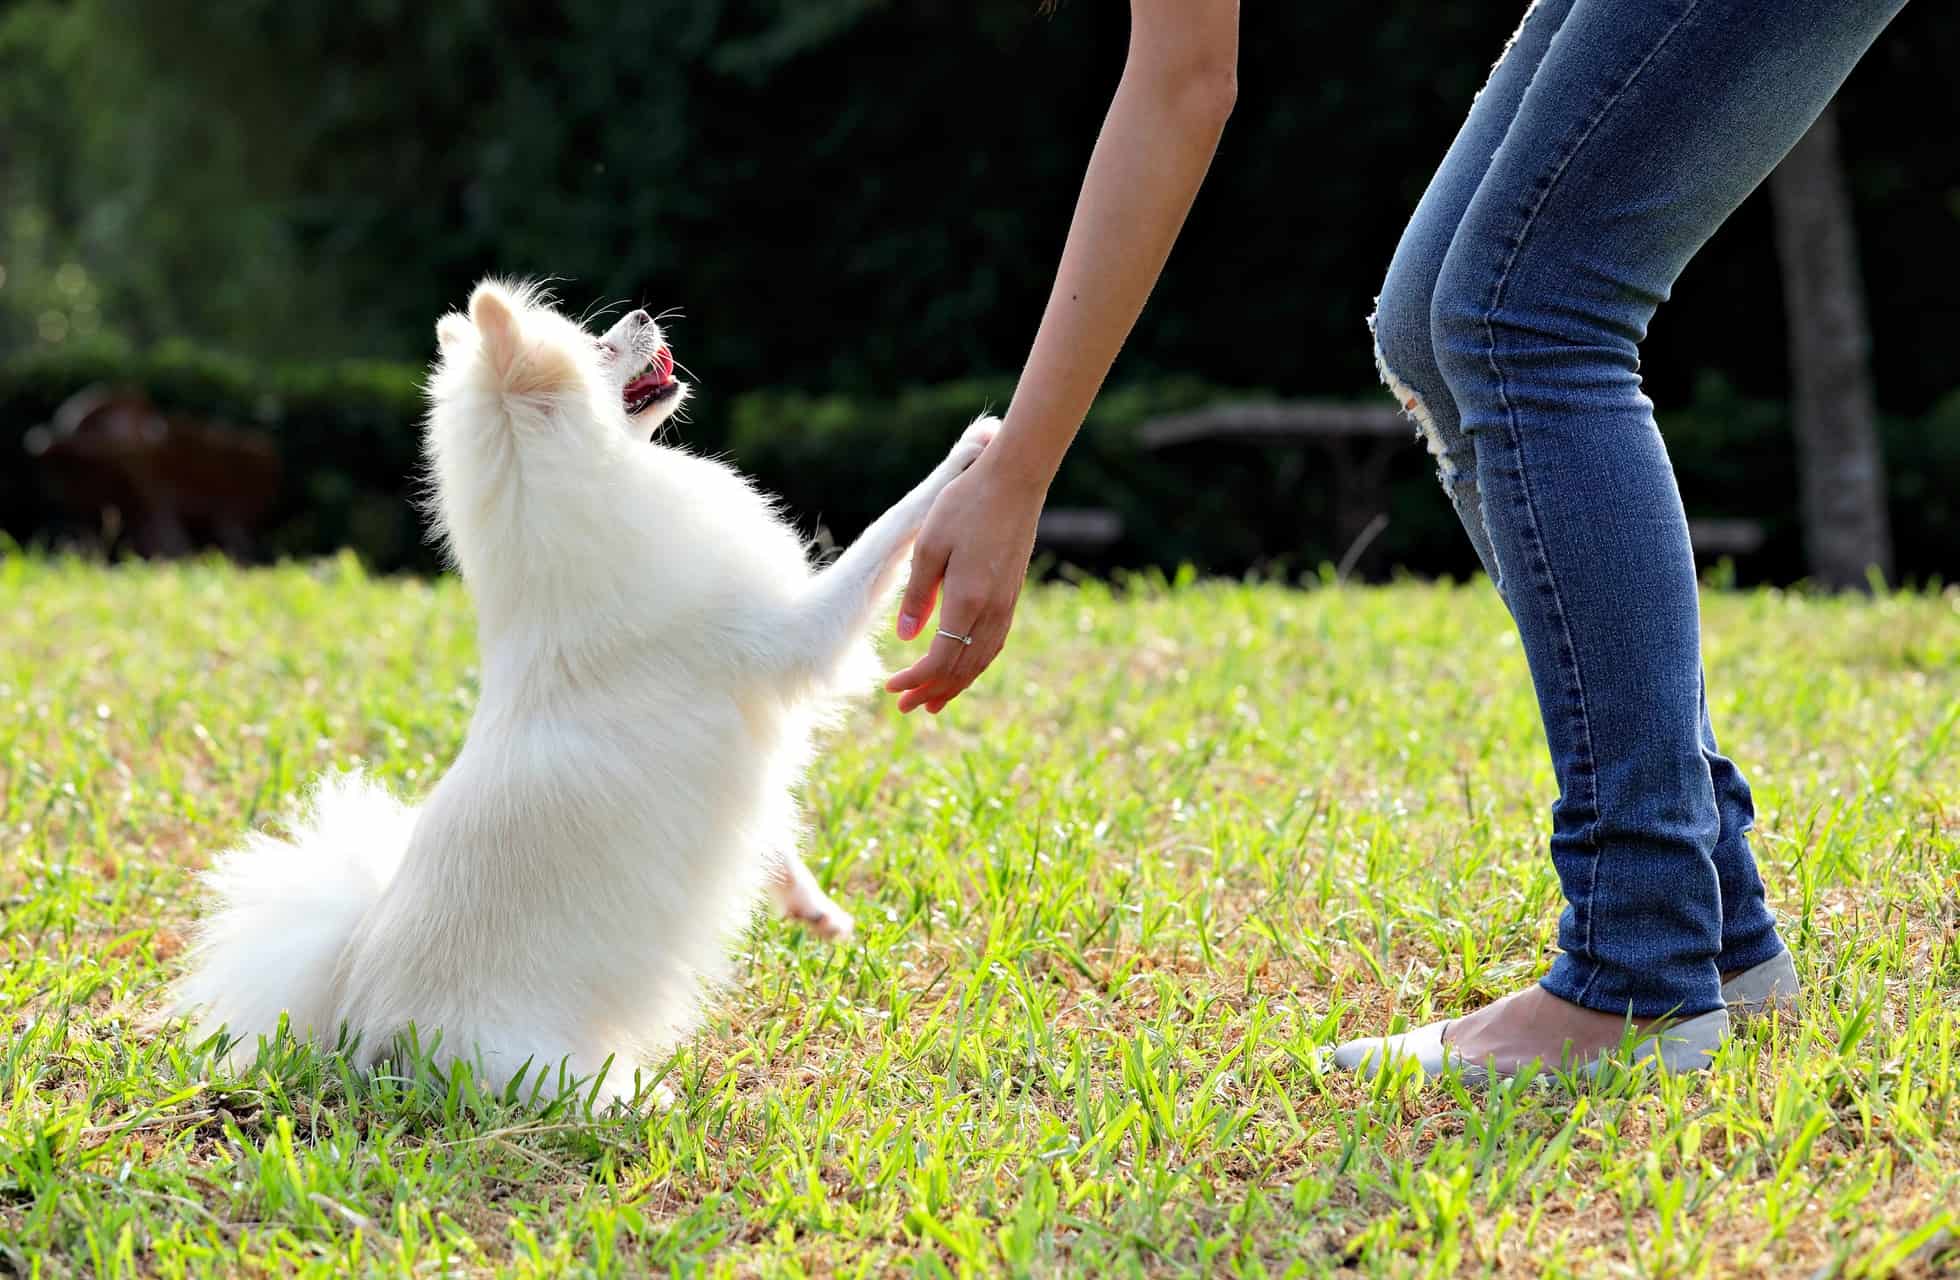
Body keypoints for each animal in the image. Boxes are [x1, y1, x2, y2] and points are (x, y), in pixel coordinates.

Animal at [172, 280, 995, 1097]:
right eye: (599, 345)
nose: (642, 312)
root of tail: (356, 1009)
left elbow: (772, 833)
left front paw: (810, 904)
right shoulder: (799, 634)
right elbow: (888, 533)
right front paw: (969, 450)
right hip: (538, 1067)